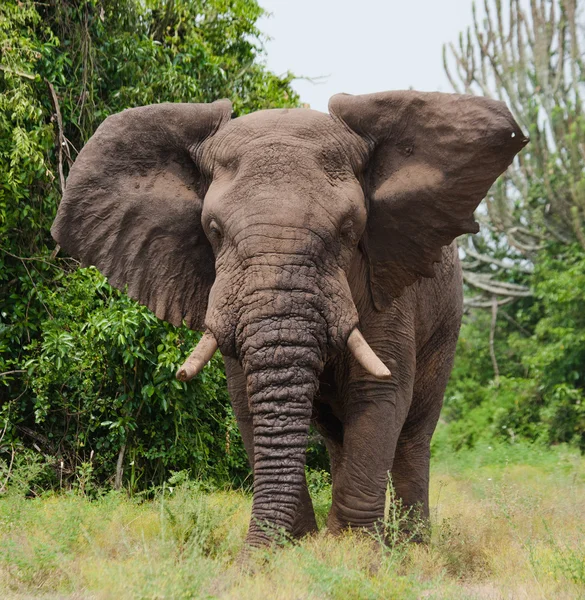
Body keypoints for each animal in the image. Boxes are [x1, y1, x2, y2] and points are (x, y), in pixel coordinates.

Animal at [50, 90, 524, 548]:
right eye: (214, 230)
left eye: (349, 230)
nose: (246, 561)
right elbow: (246, 401)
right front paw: (298, 549)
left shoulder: (387, 290)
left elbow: (379, 393)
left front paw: (351, 554)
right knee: (336, 435)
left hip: (446, 323)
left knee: (412, 436)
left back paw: (414, 548)